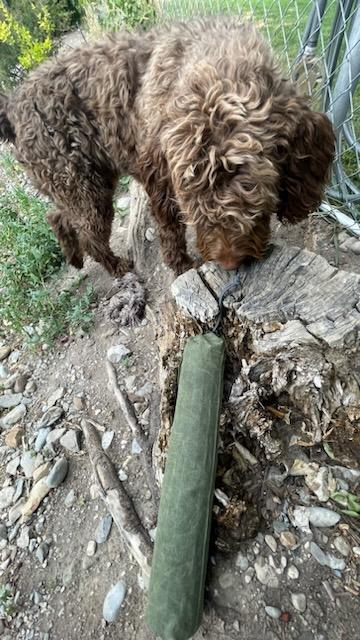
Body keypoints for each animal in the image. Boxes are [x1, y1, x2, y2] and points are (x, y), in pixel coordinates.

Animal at [0, 15, 334, 276]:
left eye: (254, 195)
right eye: (194, 204)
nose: (229, 264)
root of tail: (12, 107)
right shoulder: (160, 176)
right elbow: (170, 228)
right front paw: (181, 265)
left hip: (77, 184)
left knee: (57, 217)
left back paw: (75, 257)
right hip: (83, 189)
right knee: (88, 234)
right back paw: (115, 267)